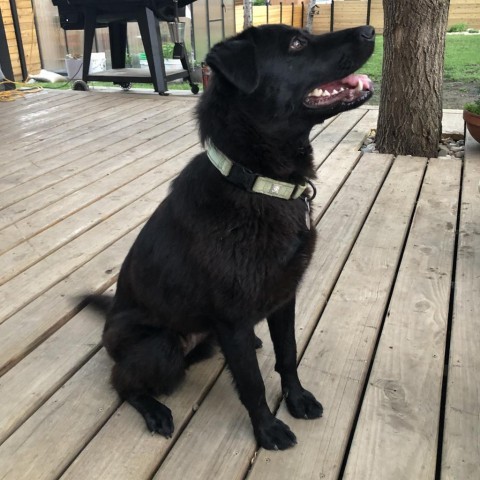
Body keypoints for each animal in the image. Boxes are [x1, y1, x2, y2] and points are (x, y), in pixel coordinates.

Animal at [89, 23, 376, 450]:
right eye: (296, 44)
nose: (371, 30)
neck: (257, 183)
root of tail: (108, 329)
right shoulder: (232, 320)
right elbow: (252, 383)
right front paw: (267, 429)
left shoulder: (283, 299)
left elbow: (288, 355)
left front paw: (296, 399)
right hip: (161, 347)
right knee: (122, 383)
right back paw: (154, 410)